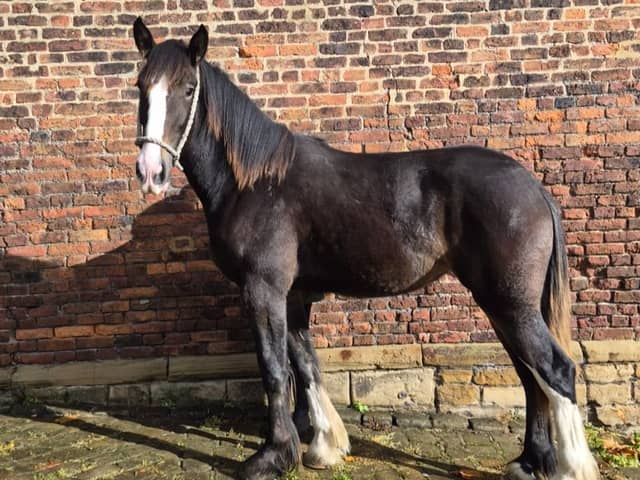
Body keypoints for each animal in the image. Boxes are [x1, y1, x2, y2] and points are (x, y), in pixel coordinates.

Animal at [131, 18, 600, 480]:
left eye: (188, 88)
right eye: (141, 85)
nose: (151, 172)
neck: (256, 182)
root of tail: (533, 187)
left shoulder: (263, 291)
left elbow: (274, 368)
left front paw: (273, 457)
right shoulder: (294, 296)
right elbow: (306, 365)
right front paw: (324, 446)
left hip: (510, 304)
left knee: (554, 370)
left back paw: (568, 466)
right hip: (505, 305)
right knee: (530, 374)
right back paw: (530, 461)